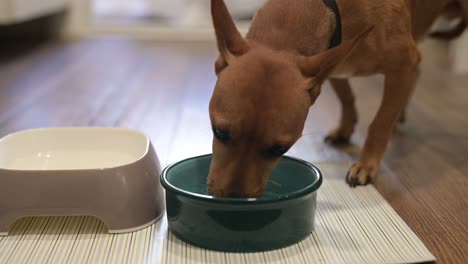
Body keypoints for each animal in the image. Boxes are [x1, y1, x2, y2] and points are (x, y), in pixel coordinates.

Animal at [207, 0, 464, 197]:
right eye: (220, 132)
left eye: (280, 149)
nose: (233, 200)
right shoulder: (333, 66)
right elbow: (346, 97)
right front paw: (345, 127)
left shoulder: (403, 63)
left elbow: (380, 122)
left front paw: (366, 164)